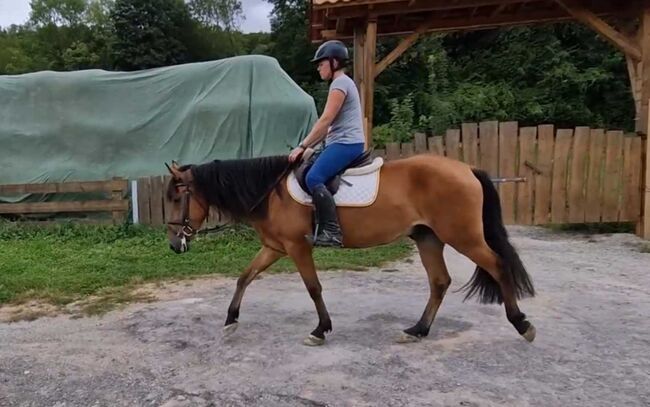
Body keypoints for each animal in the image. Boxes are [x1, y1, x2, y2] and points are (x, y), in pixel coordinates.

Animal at [164, 152, 536, 346]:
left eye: (176, 198)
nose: (174, 244)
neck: (270, 192)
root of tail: (467, 169)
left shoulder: (297, 248)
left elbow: (313, 287)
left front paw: (321, 329)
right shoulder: (275, 248)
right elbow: (244, 277)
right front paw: (231, 320)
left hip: (464, 238)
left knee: (498, 265)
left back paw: (521, 324)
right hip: (428, 238)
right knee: (440, 282)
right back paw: (418, 330)